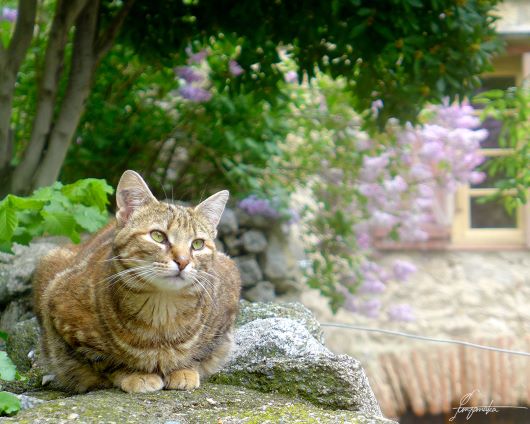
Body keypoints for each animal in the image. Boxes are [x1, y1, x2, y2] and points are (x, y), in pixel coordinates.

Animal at [32, 170, 239, 394]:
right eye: (158, 236)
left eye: (198, 244)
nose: (183, 261)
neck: (162, 314)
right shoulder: (62, 310)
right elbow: (106, 360)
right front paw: (135, 374)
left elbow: (201, 353)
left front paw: (184, 370)